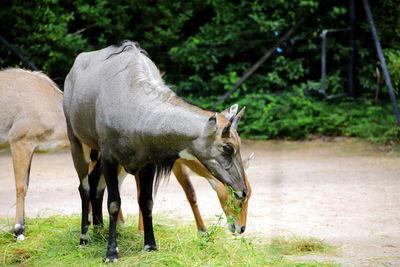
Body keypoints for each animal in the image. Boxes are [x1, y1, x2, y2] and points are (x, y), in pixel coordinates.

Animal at [63, 40, 247, 262]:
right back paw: (84, 238)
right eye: (228, 147)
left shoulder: (147, 163)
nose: (242, 191)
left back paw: (99, 230)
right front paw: (111, 252)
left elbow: (147, 201)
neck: (135, 105)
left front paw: (150, 245)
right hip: (77, 141)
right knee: (84, 187)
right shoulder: (110, 157)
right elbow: (114, 203)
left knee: (95, 183)